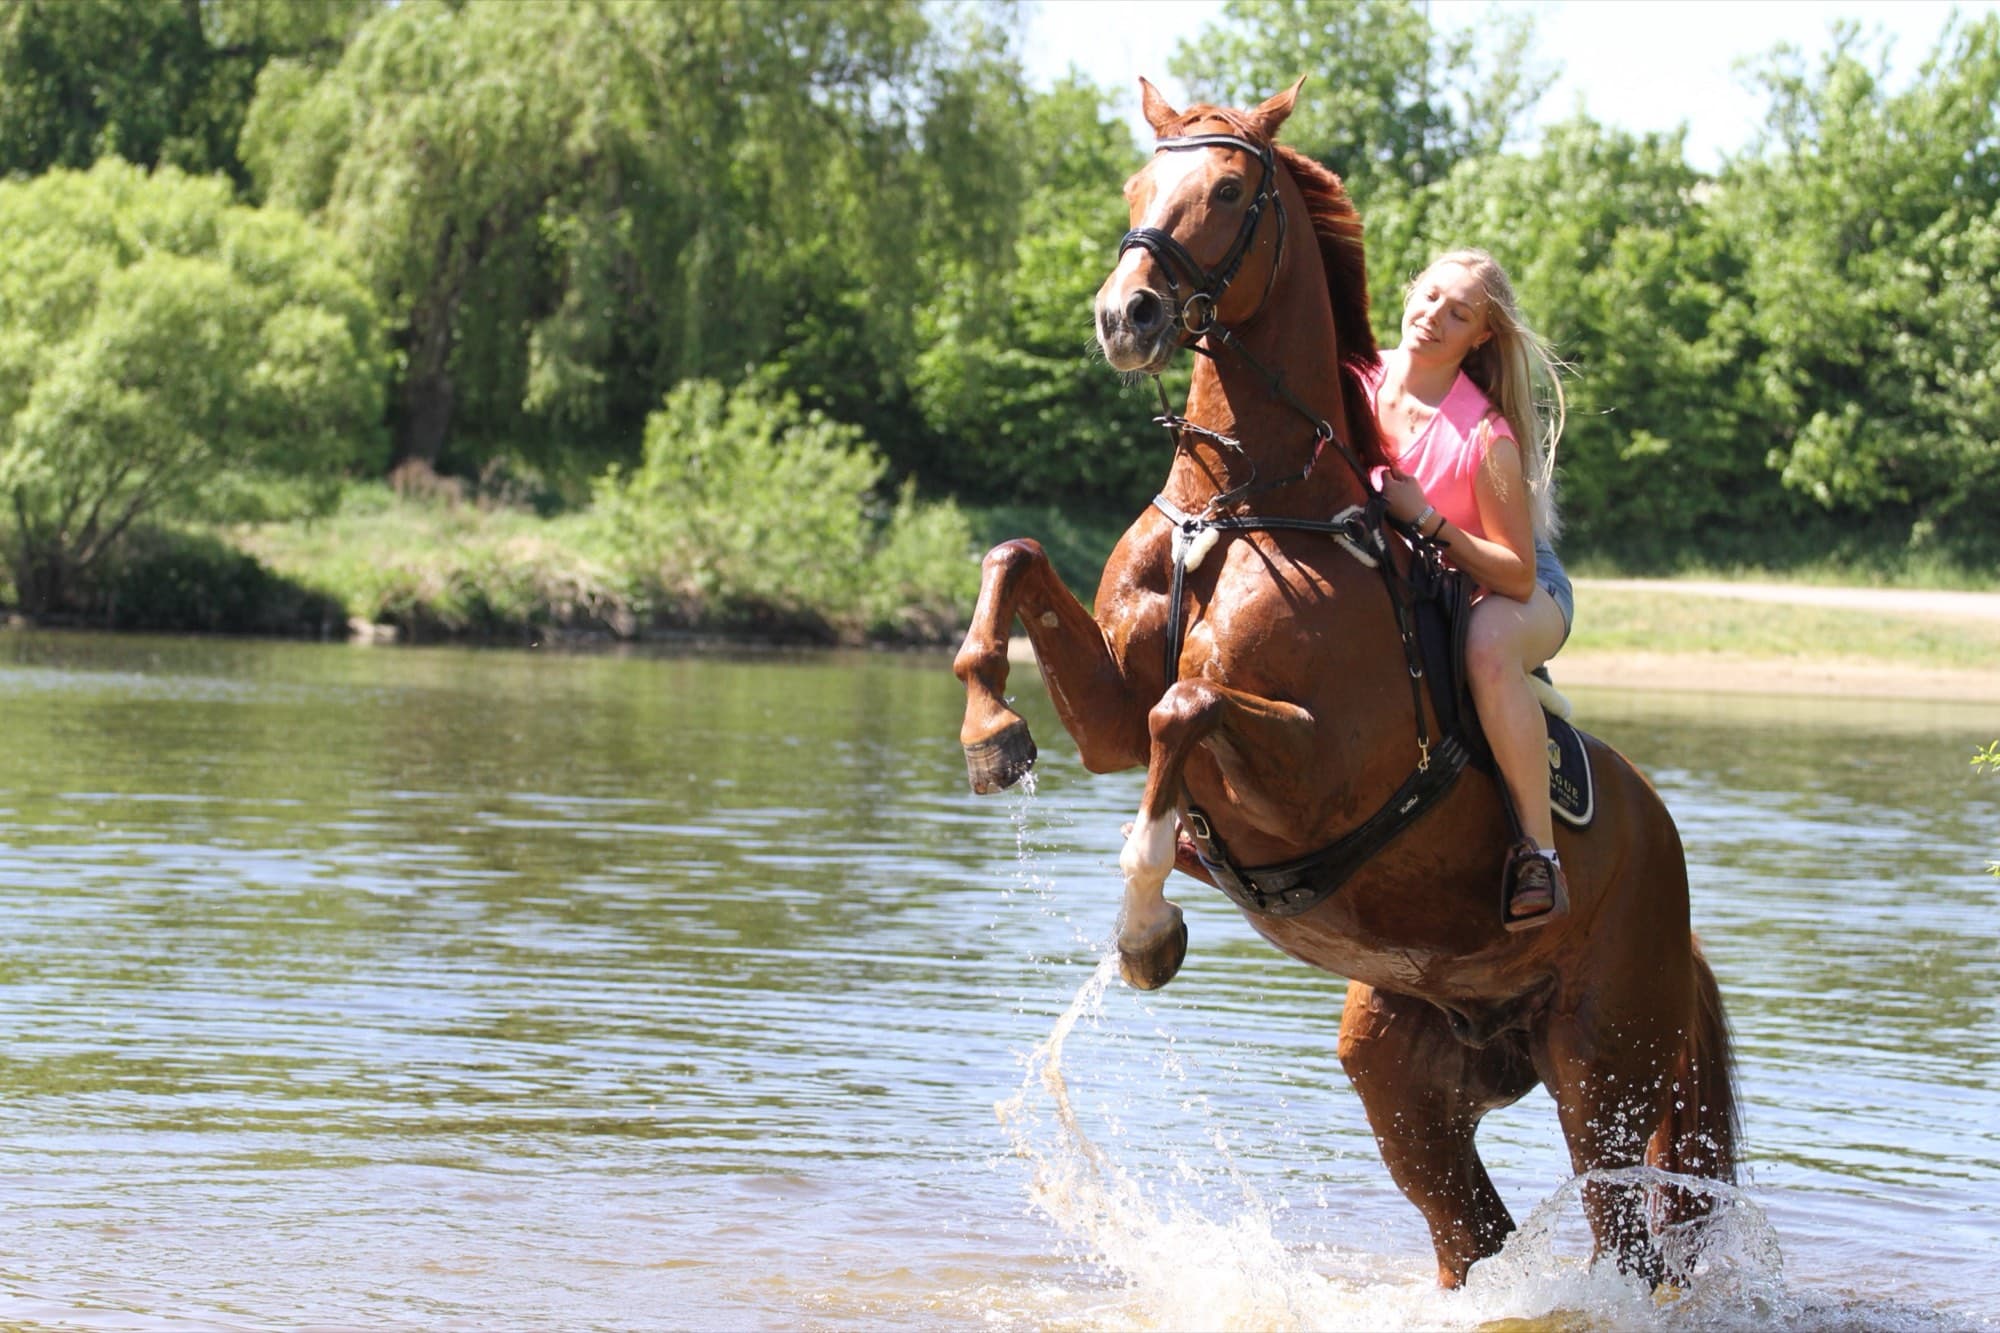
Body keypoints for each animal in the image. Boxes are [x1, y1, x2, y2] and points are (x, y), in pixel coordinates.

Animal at [951, 78, 1741, 1289]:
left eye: (1231, 190)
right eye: (1137, 183)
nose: (1125, 316)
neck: (1238, 505)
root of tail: (1675, 889)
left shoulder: (1320, 772)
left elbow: (1189, 709)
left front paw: (1147, 927)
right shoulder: (1110, 724)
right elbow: (1017, 558)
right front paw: (990, 728)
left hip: (1603, 1066)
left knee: (1626, 1244)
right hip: (1406, 1067)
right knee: (1470, 1234)